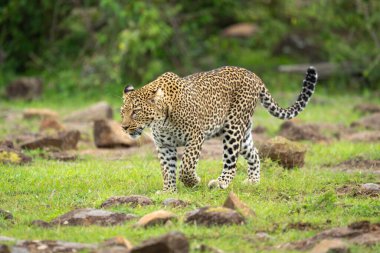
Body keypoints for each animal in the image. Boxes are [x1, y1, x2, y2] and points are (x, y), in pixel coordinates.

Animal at [120, 65, 316, 192]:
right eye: (123, 112)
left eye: (136, 112)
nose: (123, 127)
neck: (160, 121)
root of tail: (254, 75)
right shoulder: (164, 146)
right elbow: (167, 170)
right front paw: (168, 191)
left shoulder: (195, 137)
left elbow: (186, 167)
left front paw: (193, 182)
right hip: (242, 133)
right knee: (254, 153)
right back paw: (253, 181)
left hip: (233, 126)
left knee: (231, 162)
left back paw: (221, 183)